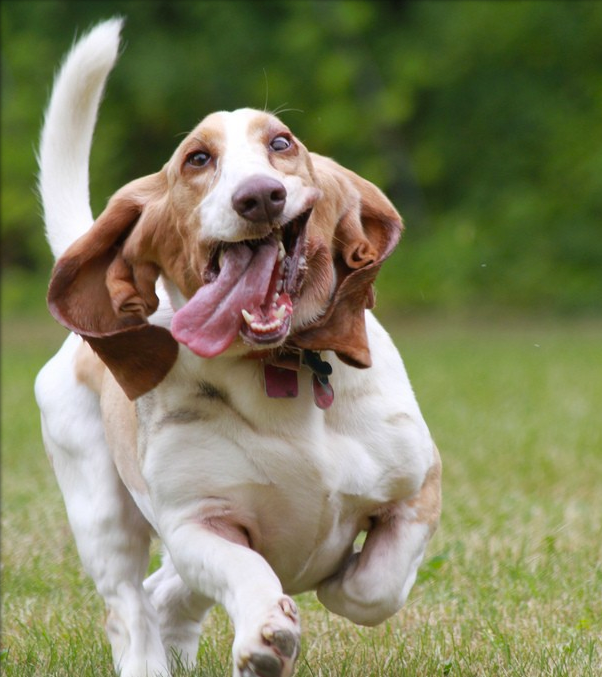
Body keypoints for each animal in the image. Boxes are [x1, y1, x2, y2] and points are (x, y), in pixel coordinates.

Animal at [36, 18, 440, 676]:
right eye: (198, 159)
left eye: (281, 143)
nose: (259, 195)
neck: (278, 369)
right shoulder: (196, 524)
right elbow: (249, 571)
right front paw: (265, 636)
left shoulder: (417, 488)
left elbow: (368, 589)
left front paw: (334, 577)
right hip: (99, 510)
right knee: (130, 605)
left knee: (163, 593)